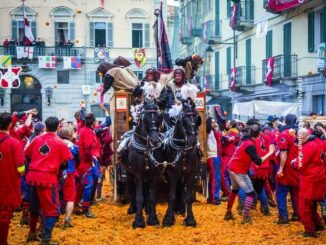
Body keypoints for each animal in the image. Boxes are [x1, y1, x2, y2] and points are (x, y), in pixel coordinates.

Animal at [121, 100, 164, 228]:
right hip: (130, 175)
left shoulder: (154, 174)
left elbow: (152, 196)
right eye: (145, 118)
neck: (146, 148)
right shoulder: (138, 175)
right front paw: (139, 221)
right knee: (132, 191)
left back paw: (148, 209)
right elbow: (139, 197)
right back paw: (132, 208)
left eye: (159, 117)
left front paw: (153, 219)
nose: (154, 140)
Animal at [162, 98, 201, 227]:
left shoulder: (191, 174)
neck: (183, 150)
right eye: (184, 120)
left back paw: (181, 209)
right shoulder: (171, 174)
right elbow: (171, 195)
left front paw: (190, 219)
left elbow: (189, 197)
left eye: (197, 119)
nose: (193, 140)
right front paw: (168, 218)